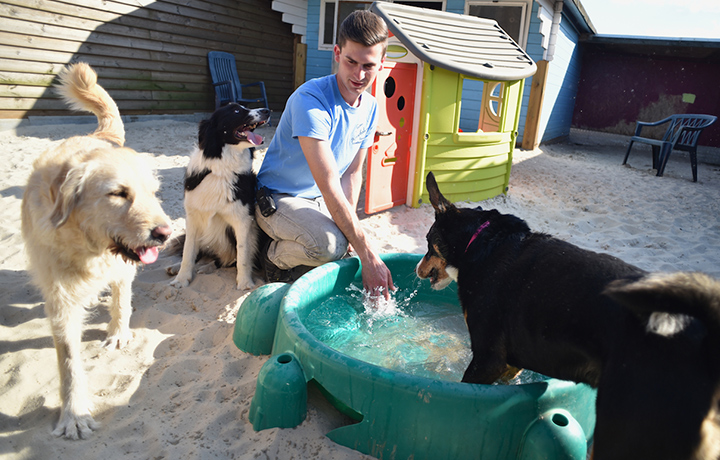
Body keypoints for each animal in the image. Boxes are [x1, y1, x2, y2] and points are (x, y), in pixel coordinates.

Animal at [21, 63, 173, 440]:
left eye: (153, 192)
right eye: (118, 193)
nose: (165, 233)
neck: (88, 248)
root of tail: (97, 136)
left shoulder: (121, 267)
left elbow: (122, 301)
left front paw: (118, 332)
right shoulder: (59, 299)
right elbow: (69, 360)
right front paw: (73, 413)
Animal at [169, 104, 270, 290]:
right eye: (236, 110)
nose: (267, 110)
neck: (221, 169)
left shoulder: (243, 220)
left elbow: (243, 254)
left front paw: (245, 283)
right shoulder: (192, 217)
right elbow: (188, 252)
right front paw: (182, 279)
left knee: (226, 260)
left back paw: (206, 267)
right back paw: (178, 267)